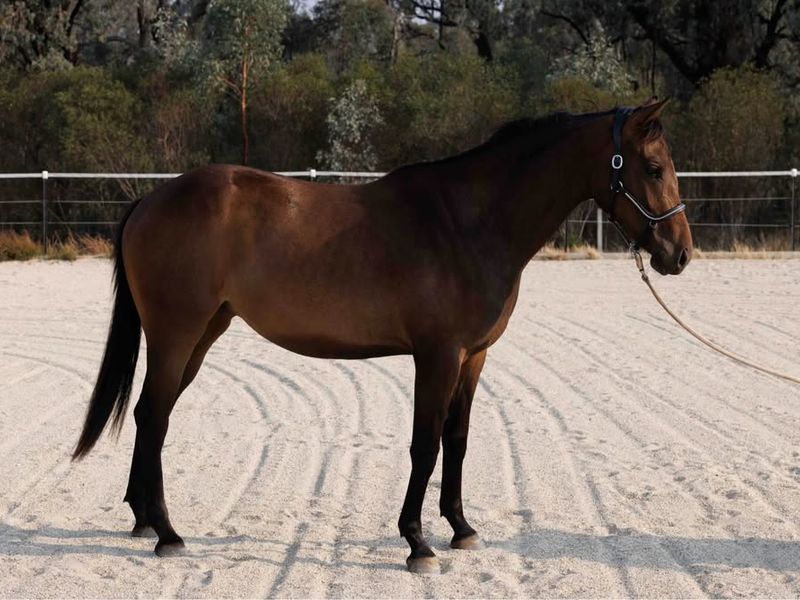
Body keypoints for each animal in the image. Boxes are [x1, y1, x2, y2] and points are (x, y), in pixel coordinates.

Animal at [72, 98, 692, 574]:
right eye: (653, 167)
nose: (679, 254)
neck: (468, 222)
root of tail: (151, 200)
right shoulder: (437, 356)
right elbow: (425, 444)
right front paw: (417, 543)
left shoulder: (473, 358)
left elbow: (458, 439)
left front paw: (461, 527)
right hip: (177, 335)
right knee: (154, 417)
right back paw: (168, 534)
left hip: (202, 335)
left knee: (151, 415)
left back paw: (143, 519)